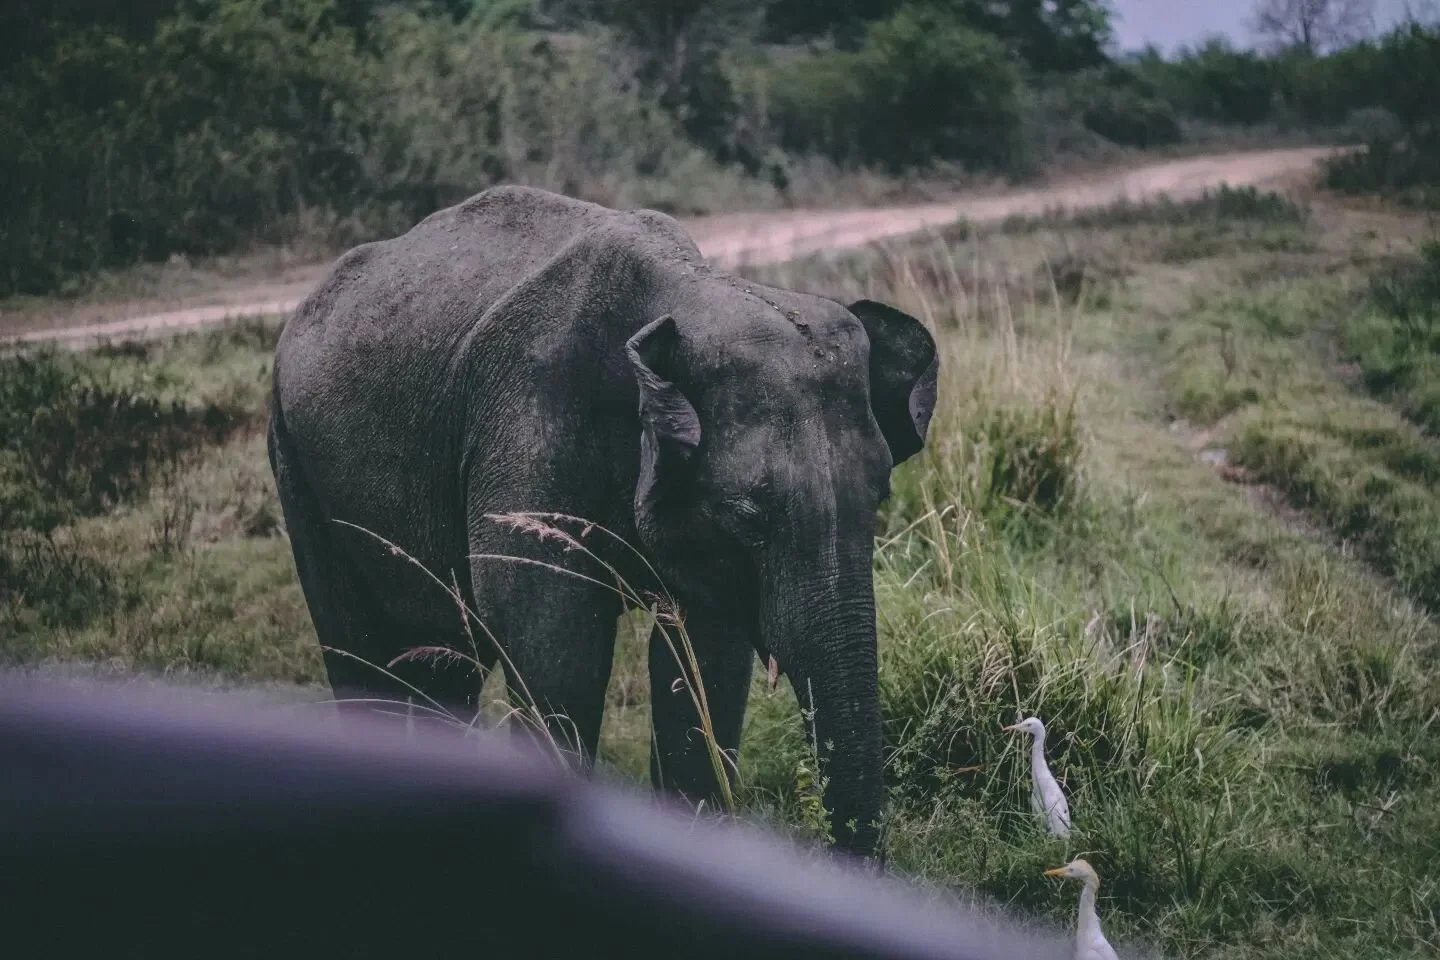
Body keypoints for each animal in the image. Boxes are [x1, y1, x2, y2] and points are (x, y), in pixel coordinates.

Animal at [266, 185, 938, 857]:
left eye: (879, 497)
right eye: (748, 514)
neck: (684, 295)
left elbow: (706, 658)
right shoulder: (527, 429)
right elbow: (555, 646)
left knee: (445, 665)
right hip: (296, 465)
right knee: (359, 656)